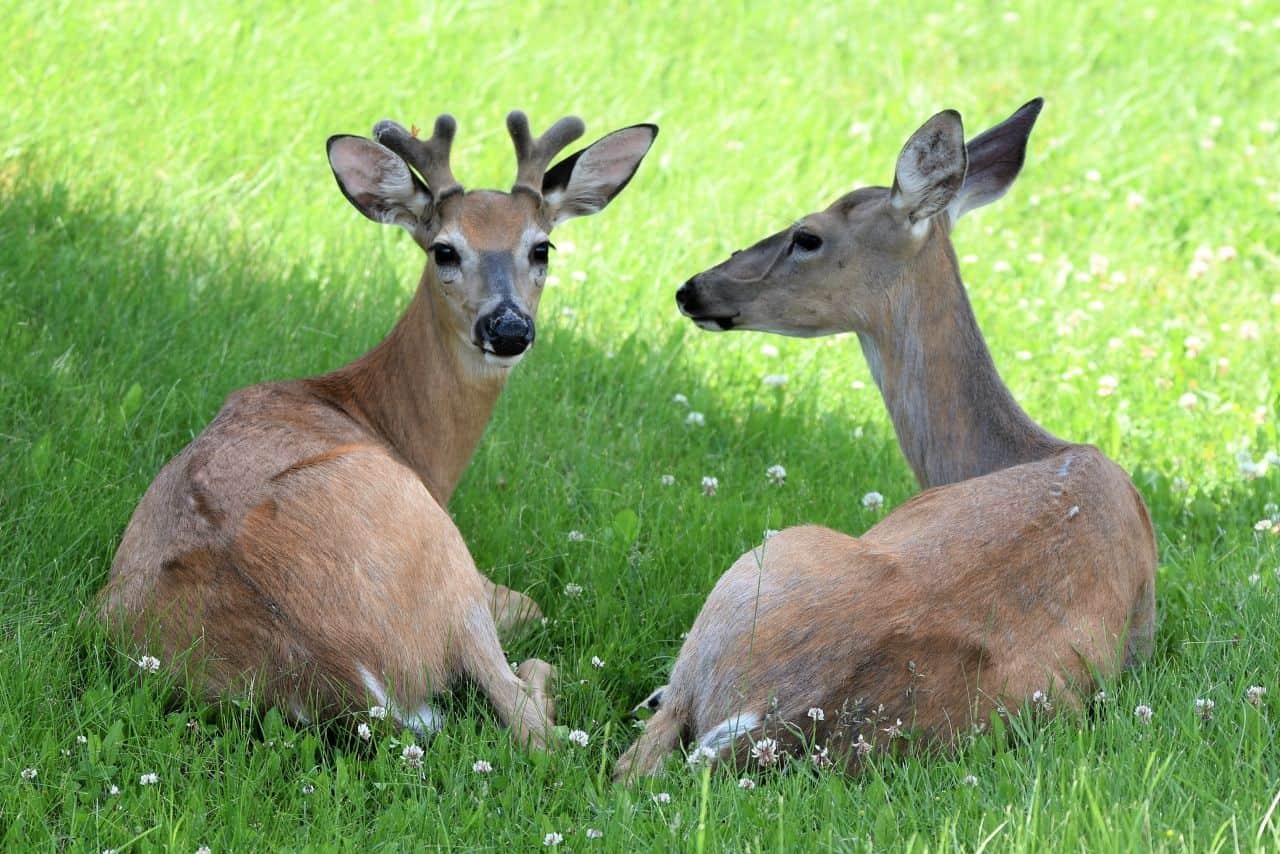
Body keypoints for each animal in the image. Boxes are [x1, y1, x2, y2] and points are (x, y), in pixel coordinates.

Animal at [98, 110, 655, 742]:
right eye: (444, 250)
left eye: (542, 247)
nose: (509, 328)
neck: (377, 416)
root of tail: (345, 675)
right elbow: (532, 610)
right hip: (446, 565)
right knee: (530, 723)